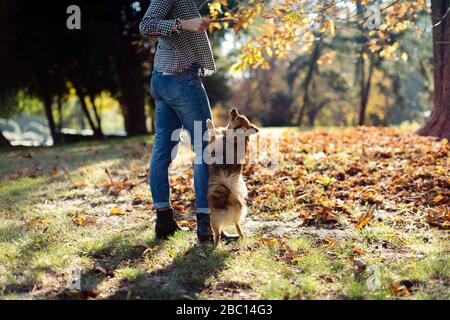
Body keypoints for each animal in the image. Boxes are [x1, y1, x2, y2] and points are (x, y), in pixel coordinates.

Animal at [206, 108, 258, 248]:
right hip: (236, 219)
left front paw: (209, 123)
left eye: (235, 116)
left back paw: (213, 247)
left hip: (214, 220)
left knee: (217, 235)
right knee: (239, 228)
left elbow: (212, 131)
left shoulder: (212, 143)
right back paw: (240, 237)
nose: (233, 110)